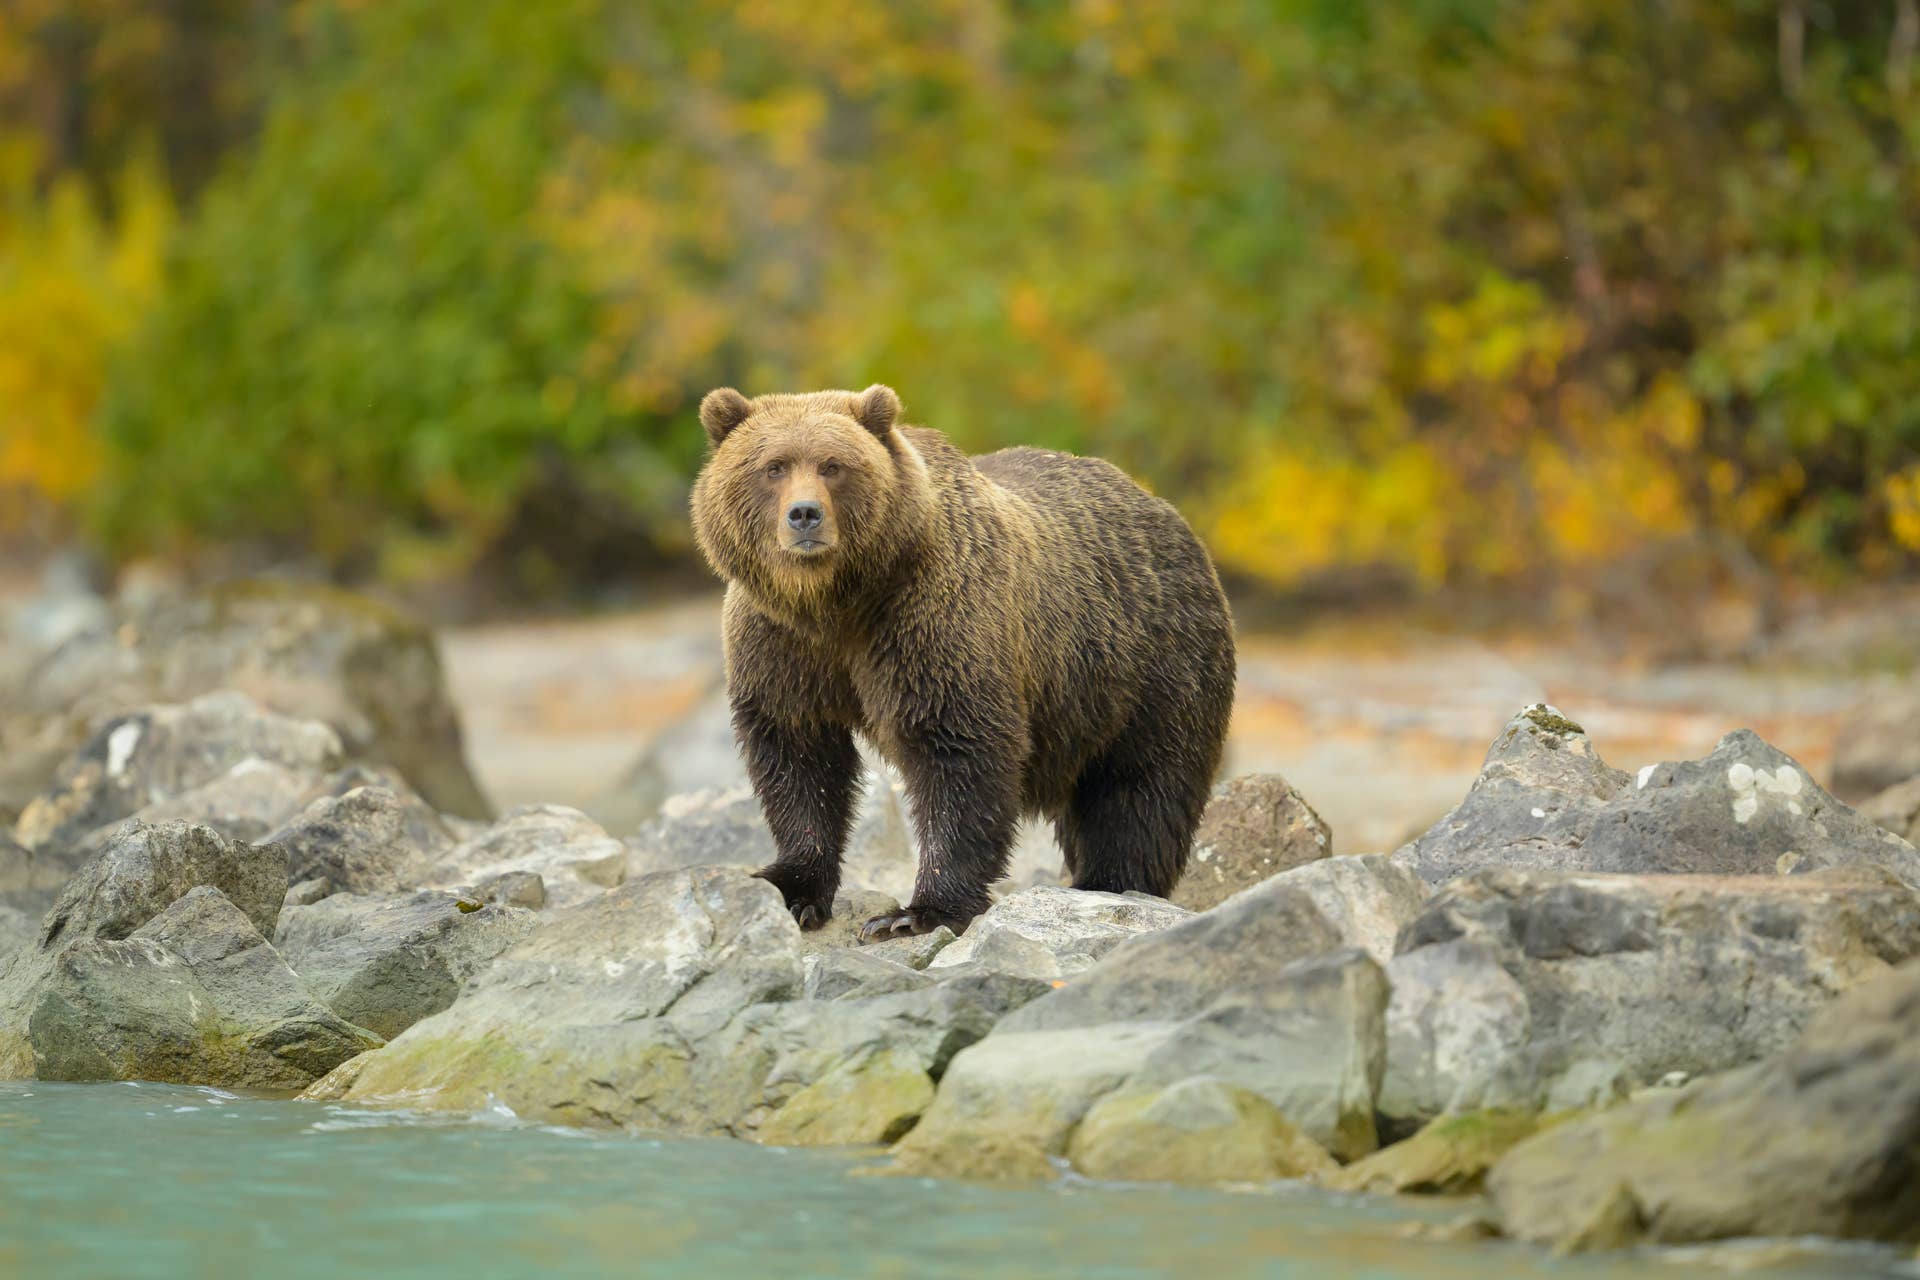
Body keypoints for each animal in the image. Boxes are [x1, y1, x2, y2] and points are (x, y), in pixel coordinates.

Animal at [690, 384, 1236, 939]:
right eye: (774, 466)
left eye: (833, 465)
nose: (804, 514)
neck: (836, 603)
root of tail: (1169, 516)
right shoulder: (780, 645)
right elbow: (797, 756)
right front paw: (792, 888)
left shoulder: (933, 619)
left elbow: (959, 751)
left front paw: (915, 913)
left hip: (1152, 663)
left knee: (1141, 786)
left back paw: (1110, 881)